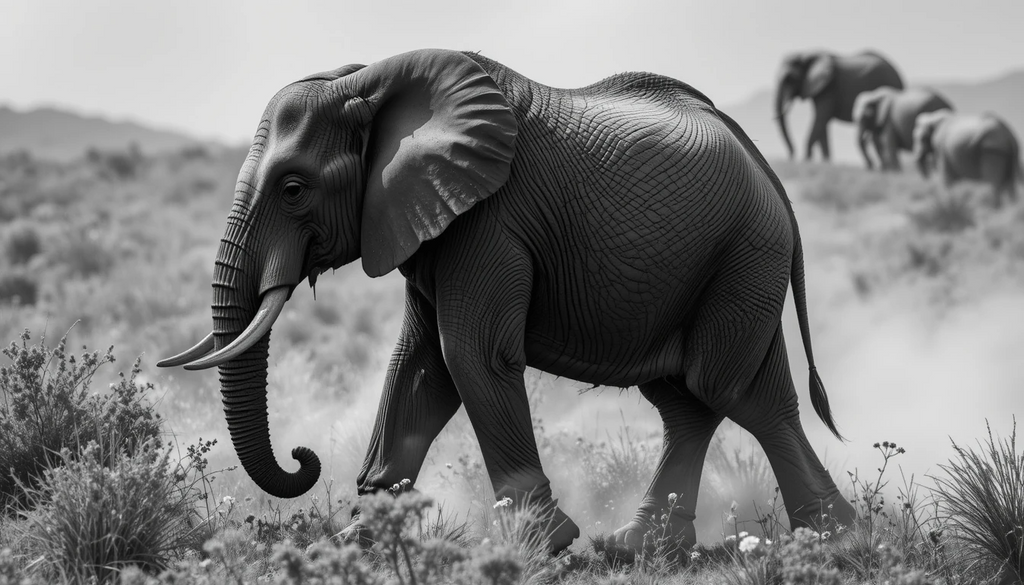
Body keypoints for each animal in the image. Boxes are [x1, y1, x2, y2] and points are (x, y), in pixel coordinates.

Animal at [159, 49, 857, 554]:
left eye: (294, 188)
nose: (303, 457)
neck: (372, 81)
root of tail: (768, 171)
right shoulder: (433, 222)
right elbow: (420, 368)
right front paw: (358, 541)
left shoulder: (490, 220)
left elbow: (471, 356)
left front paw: (543, 546)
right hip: (728, 268)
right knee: (711, 400)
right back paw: (652, 546)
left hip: (743, 256)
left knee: (725, 392)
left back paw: (827, 540)